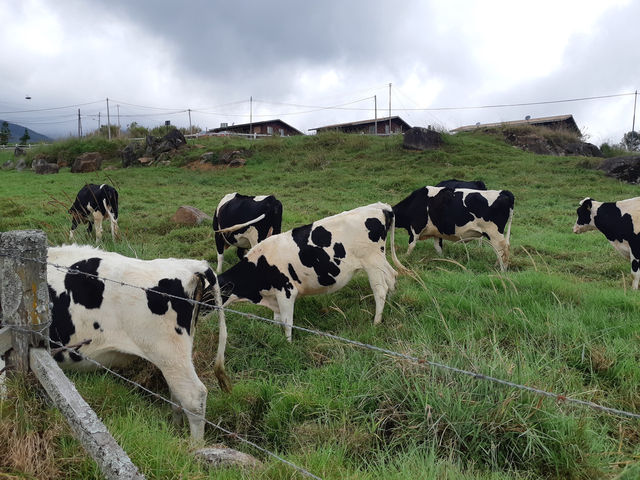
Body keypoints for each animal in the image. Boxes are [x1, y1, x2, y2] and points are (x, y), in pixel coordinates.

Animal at [45, 246, 230, 440]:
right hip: (175, 359)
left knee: (194, 397)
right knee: (176, 396)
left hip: (168, 353)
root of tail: (189, 264)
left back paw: (195, 445)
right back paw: (175, 432)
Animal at [215, 202, 404, 342]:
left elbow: (287, 322)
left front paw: (288, 344)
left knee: (380, 290)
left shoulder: (286, 291)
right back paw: (392, 303)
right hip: (379, 260)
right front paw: (275, 335)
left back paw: (376, 322)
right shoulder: (274, 294)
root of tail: (381, 207)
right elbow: (277, 319)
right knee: (392, 276)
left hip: (372, 263)